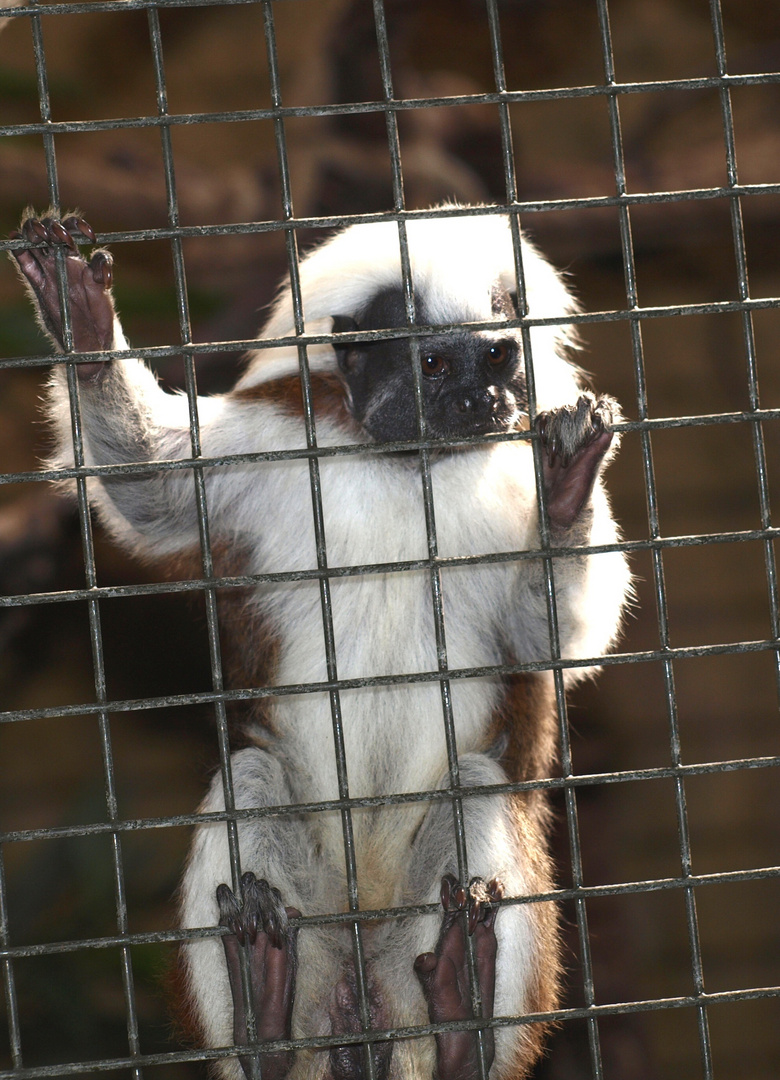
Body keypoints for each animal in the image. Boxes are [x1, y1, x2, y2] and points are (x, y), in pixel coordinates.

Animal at [12, 206, 630, 1080]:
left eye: (498, 356)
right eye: (435, 363)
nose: (483, 399)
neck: (405, 462)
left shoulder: (508, 472)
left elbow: (554, 640)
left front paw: (570, 491)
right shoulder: (274, 431)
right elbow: (152, 488)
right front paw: (82, 326)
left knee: (476, 790)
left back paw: (456, 1020)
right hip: (321, 931)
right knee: (251, 780)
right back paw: (266, 1015)